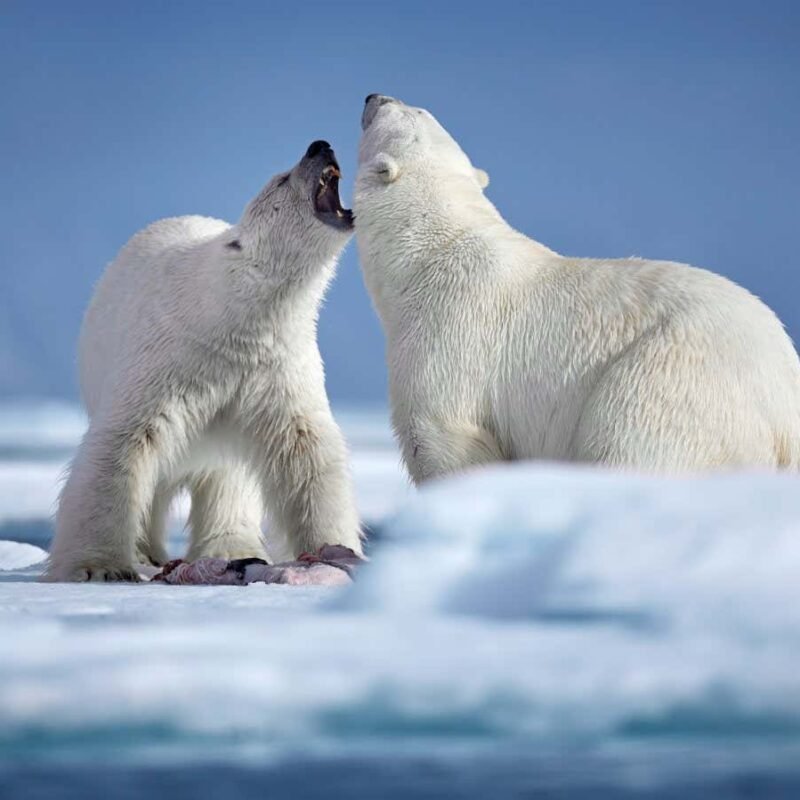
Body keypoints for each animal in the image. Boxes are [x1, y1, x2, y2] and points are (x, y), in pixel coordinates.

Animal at [45, 141, 360, 580]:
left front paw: (335, 549)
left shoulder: (276, 366)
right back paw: (148, 551)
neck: (230, 313)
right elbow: (123, 443)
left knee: (226, 477)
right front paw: (99, 566)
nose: (320, 145)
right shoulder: (171, 358)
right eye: (282, 179)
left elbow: (305, 450)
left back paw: (230, 548)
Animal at [354, 94, 800, 482]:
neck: (429, 250)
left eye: (399, 111)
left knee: (629, 441)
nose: (374, 96)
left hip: (673, 378)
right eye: (419, 109)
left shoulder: (448, 334)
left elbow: (444, 439)